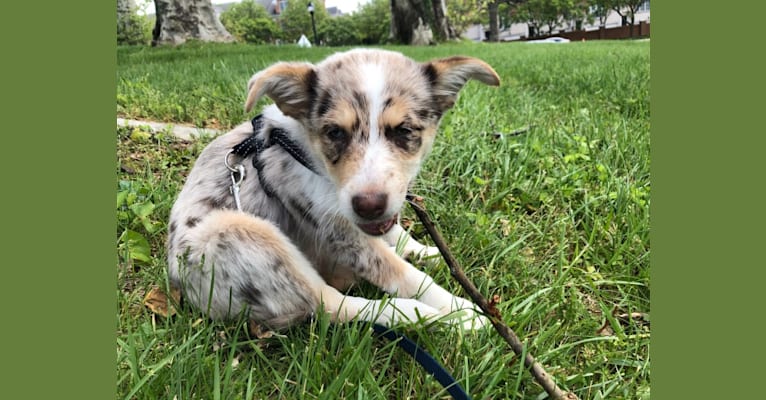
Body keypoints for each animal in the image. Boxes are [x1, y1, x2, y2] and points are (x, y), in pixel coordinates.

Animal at [167, 48, 500, 330]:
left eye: (403, 131)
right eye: (335, 133)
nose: (369, 205)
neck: (308, 158)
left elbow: (396, 232)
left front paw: (422, 250)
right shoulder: (339, 232)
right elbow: (405, 275)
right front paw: (459, 309)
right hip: (238, 229)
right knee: (333, 306)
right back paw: (427, 316)